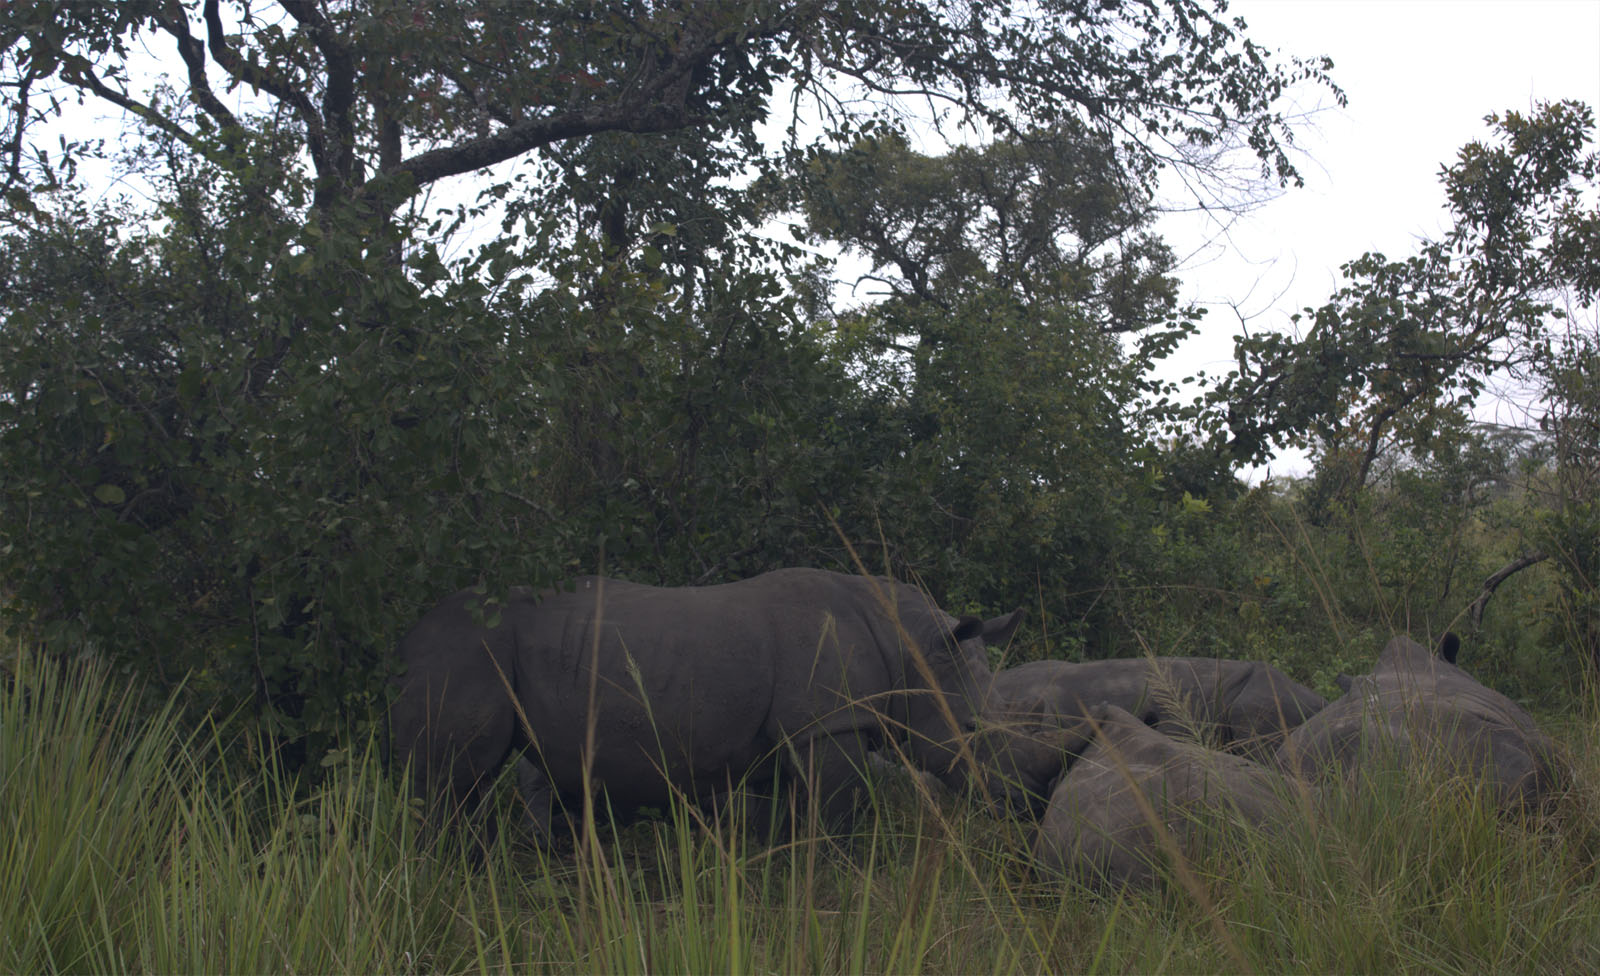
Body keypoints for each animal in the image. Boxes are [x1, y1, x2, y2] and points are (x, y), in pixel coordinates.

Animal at [390, 568, 1022, 842]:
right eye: (971, 727)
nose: (1008, 799)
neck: (913, 647)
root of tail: (408, 638)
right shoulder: (827, 724)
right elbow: (836, 816)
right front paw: (833, 879)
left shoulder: (795, 735)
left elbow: (785, 818)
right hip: (468, 650)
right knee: (450, 781)